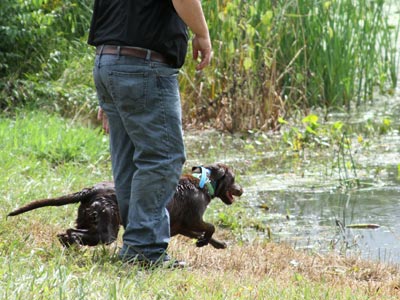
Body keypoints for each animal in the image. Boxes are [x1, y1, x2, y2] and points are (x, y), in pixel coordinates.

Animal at [7, 163, 242, 250]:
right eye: (234, 179)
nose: (242, 190)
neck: (204, 183)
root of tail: (91, 189)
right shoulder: (194, 218)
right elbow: (210, 227)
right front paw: (207, 241)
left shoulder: (180, 226)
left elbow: (204, 234)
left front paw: (216, 244)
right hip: (108, 225)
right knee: (82, 235)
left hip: (88, 218)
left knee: (69, 231)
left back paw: (68, 244)